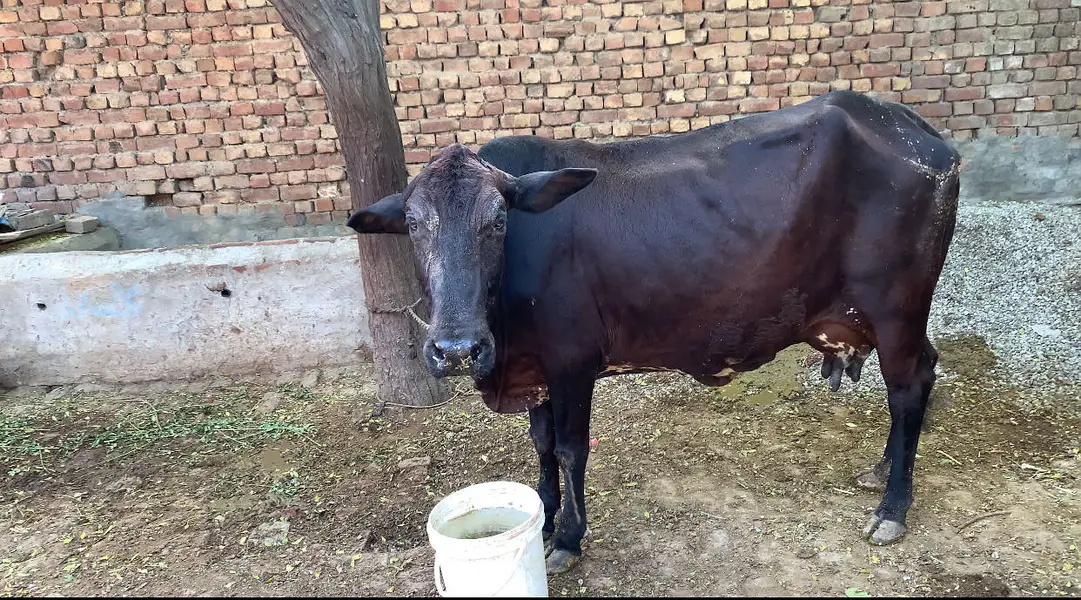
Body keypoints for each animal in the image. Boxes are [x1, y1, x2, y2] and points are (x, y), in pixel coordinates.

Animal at [347, 90, 961, 574]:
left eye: (497, 220)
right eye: (413, 224)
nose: (455, 349)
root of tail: (911, 126)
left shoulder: (572, 363)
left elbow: (570, 449)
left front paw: (568, 539)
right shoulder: (535, 366)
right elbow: (541, 445)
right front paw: (543, 520)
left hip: (897, 309)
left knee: (909, 387)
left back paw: (892, 508)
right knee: (917, 379)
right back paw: (881, 471)